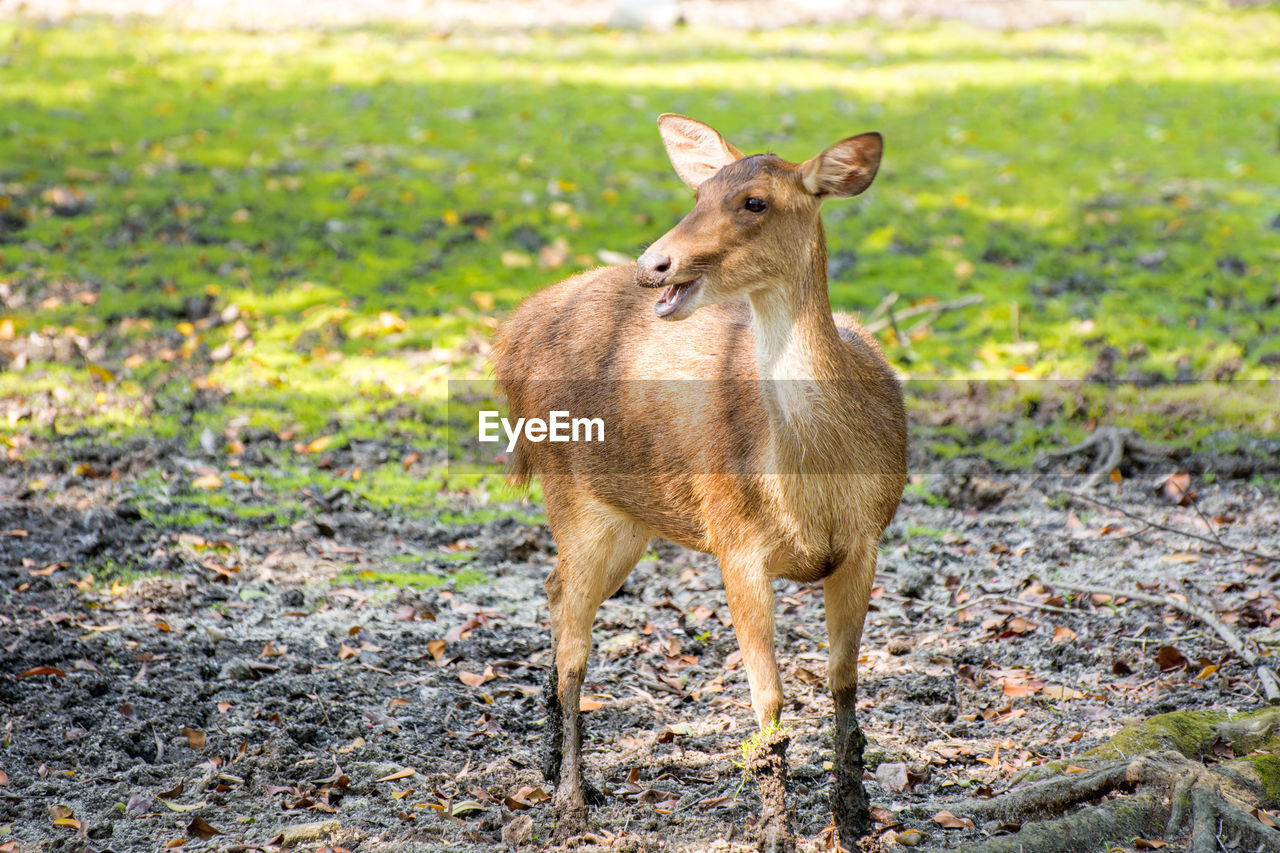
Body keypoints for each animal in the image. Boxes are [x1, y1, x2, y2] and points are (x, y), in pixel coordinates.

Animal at [491, 114, 911, 850]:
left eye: (754, 201)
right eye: (699, 194)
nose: (653, 264)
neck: (815, 488)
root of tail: (509, 336)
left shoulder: (865, 540)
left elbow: (843, 678)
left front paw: (855, 816)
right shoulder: (736, 541)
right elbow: (768, 696)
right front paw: (775, 831)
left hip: (628, 516)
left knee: (552, 587)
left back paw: (554, 768)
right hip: (572, 493)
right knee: (575, 640)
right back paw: (570, 803)